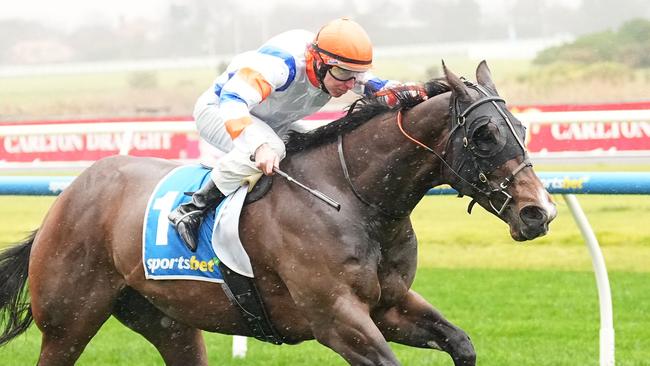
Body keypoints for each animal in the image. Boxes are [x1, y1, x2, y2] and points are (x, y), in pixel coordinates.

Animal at [0, 61, 556, 364]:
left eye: (523, 127)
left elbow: (461, 343)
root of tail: (68, 196)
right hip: (68, 322)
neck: (356, 200)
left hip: (169, 322)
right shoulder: (336, 319)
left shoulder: (390, 305)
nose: (540, 212)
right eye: (484, 135)